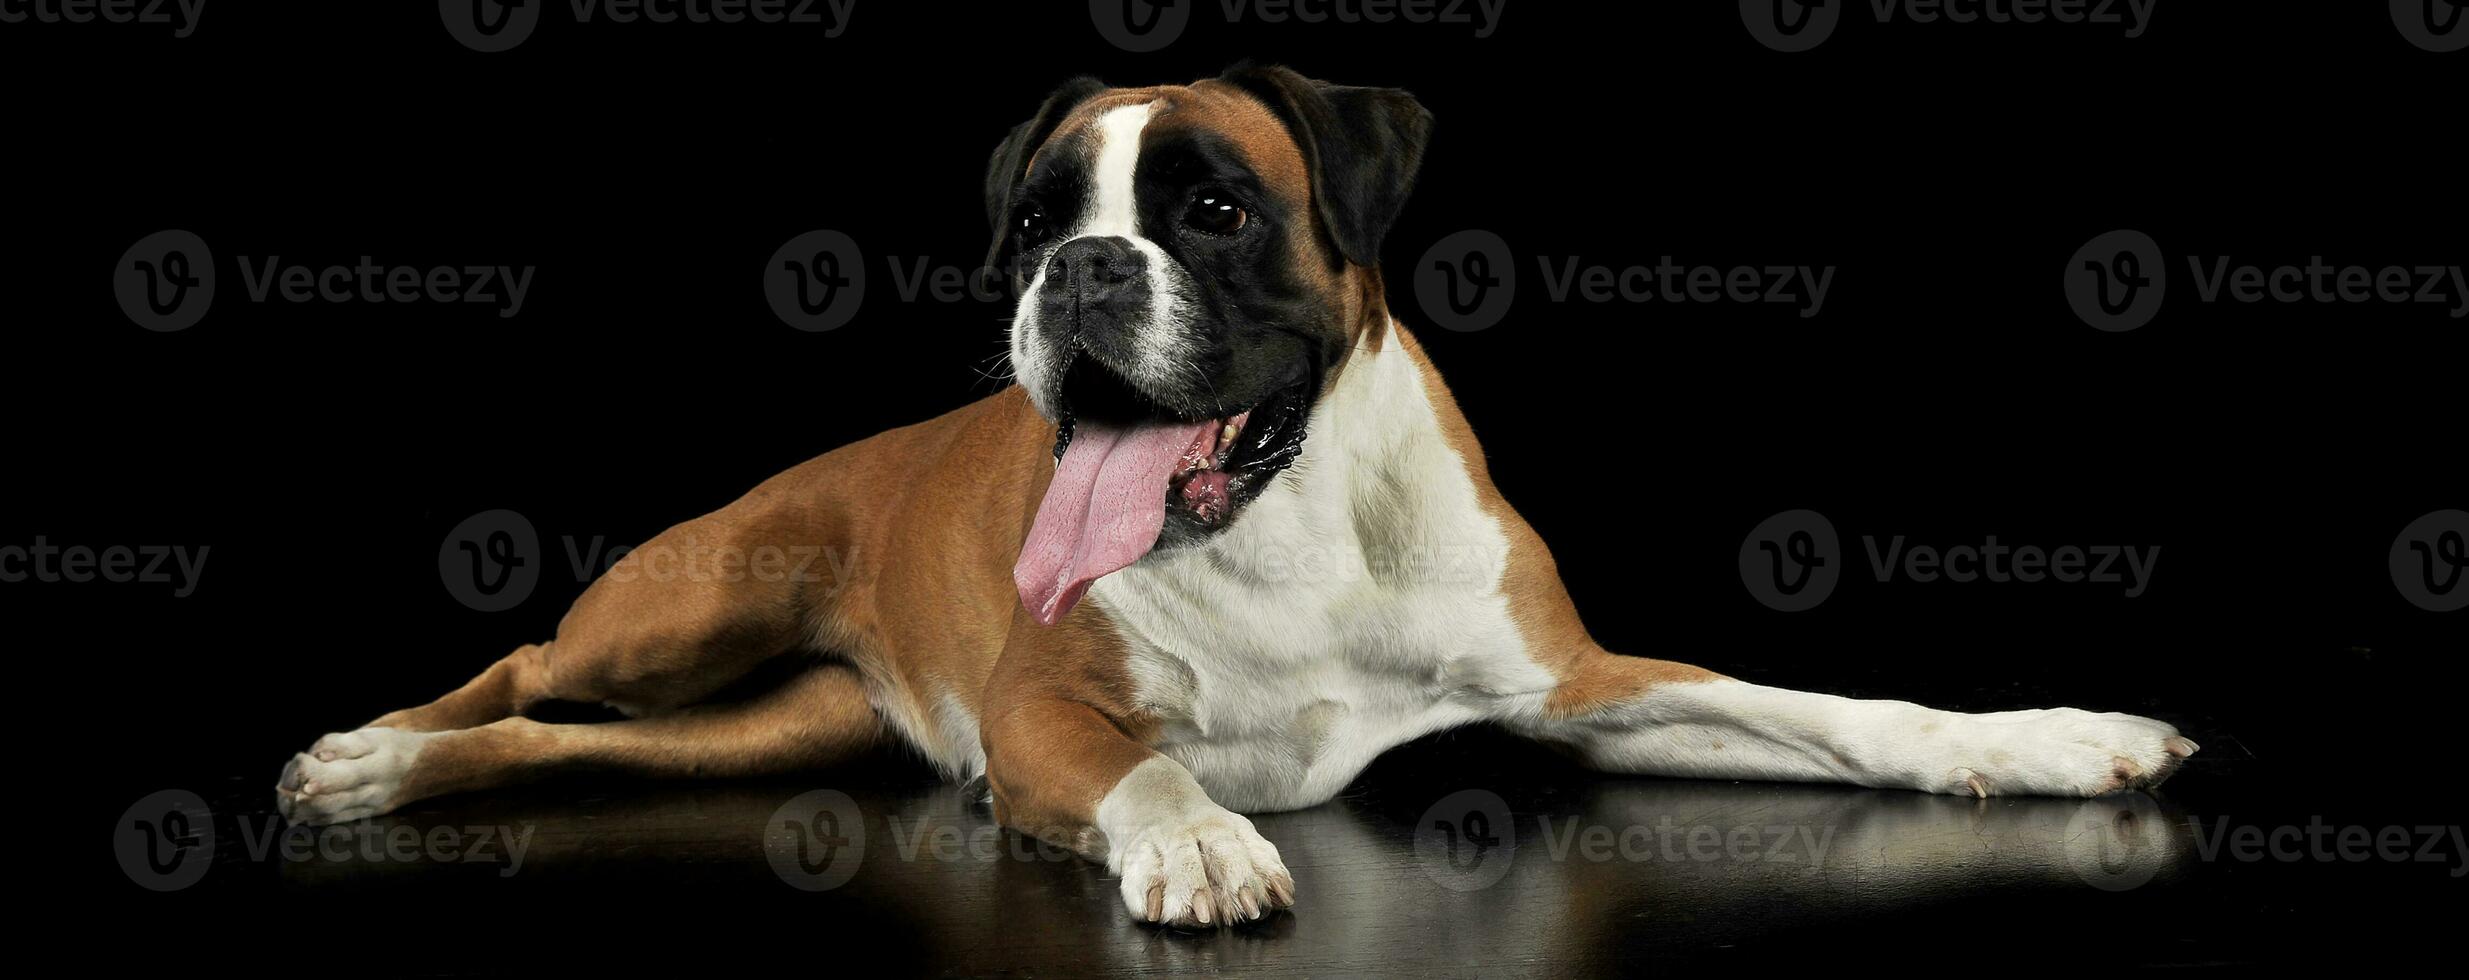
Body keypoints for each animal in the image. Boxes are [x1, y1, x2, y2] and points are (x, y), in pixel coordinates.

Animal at [275, 68, 2202, 923]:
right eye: (1035, 220)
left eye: (1211, 210)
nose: (1077, 272)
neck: (1287, 528)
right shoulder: (1040, 719)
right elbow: (1144, 766)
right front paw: (1199, 835)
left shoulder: (1579, 689)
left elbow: (1828, 710)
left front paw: (2043, 739)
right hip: (687, 607)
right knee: (521, 674)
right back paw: (368, 754)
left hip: (766, 727)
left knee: (554, 742)